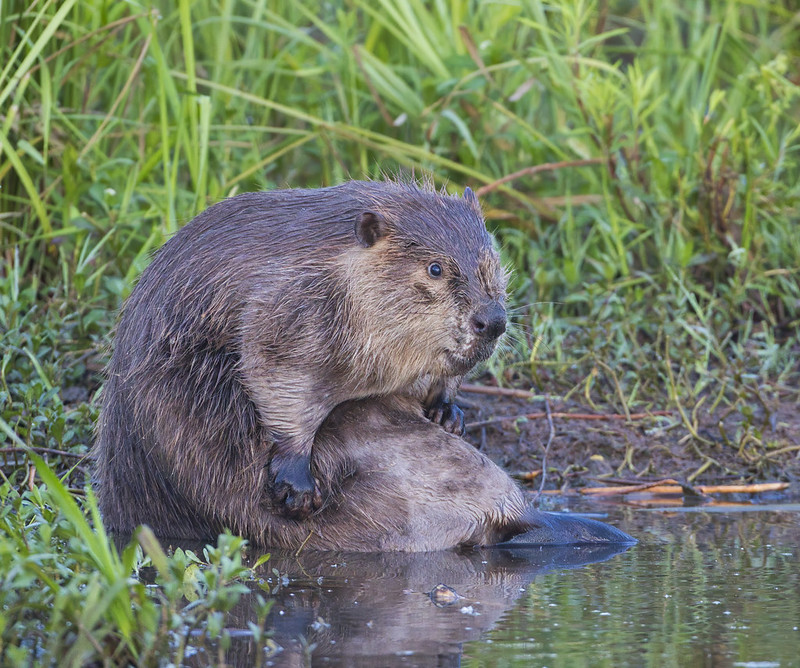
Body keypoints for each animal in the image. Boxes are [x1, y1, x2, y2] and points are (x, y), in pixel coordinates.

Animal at [94, 180, 506, 520]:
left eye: (492, 263)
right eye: (435, 269)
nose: (493, 321)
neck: (339, 266)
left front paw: (448, 413)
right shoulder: (289, 306)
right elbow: (276, 375)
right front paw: (298, 486)